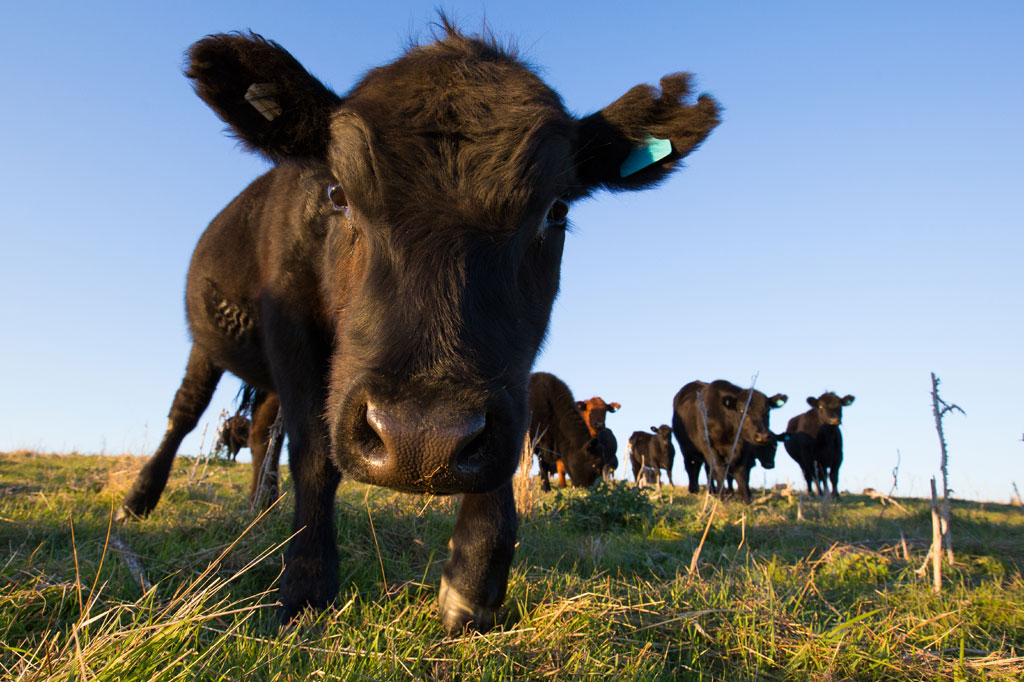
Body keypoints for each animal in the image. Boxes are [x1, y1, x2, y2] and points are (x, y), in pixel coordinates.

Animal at [117, 20, 719, 634]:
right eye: (337, 193)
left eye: (557, 210)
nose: (421, 439)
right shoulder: (291, 329)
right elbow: (313, 453)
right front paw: (306, 587)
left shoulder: (508, 386)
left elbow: (502, 446)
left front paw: (473, 577)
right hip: (207, 347)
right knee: (185, 415)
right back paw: (141, 499)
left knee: (263, 428)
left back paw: (259, 511)